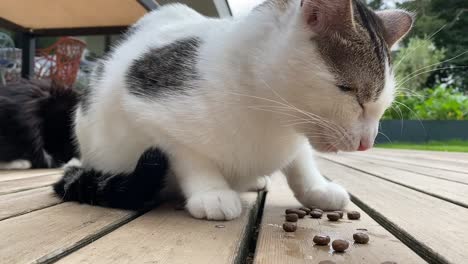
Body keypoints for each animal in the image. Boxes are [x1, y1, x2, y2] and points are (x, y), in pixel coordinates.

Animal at [54, 0, 414, 221]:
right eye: (350, 91)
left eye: (382, 104)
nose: (367, 142)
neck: (270, 113)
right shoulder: (141, 102)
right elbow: (188, 155)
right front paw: (212, 192)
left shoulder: (296, 136)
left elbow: (300, 163)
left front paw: (318, 190)